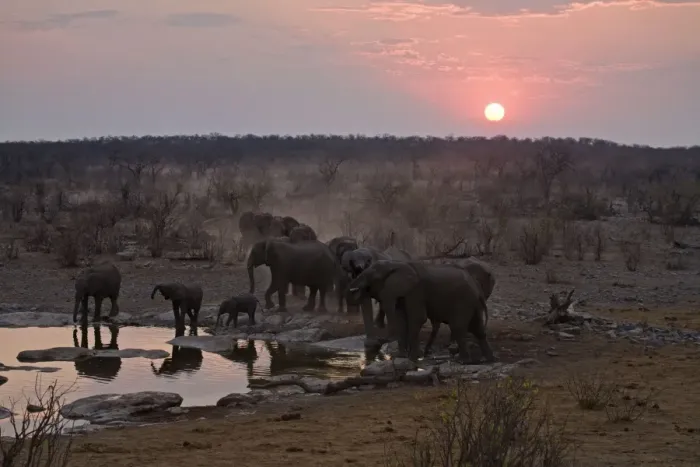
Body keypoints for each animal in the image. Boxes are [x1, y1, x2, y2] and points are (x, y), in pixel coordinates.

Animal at [346, 260, 495, 363]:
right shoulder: (403, 293)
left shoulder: (415, 291)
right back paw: (488, 359)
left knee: (458, 327)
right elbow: (401, 319)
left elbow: (417, 318)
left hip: (464, 302)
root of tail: (476, 287)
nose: (378, 342)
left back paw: (462, 361)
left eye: (373, 277)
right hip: (472, 303)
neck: (396, 264)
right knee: (478, 329)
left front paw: (412, 358)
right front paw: (402, 357)